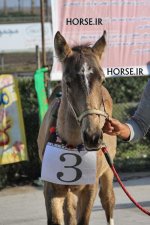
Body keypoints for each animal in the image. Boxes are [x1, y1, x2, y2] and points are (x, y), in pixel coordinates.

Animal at [38, 31, 116, 225]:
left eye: (102, 80)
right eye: (68, 82)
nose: (92, 136)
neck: (72, 144)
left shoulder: (90, 187)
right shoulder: (51, 188)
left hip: (107, 172)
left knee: (108, 200)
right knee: (70, 211)